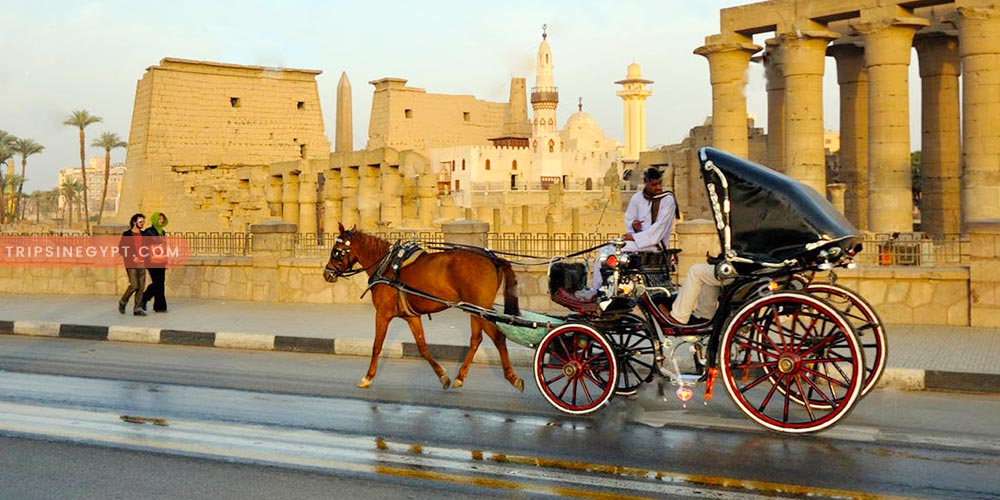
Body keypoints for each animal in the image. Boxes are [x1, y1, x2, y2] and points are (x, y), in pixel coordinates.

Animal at [323, 223, 524, 392]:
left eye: (336, 251)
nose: (327, 273)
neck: (386, 265)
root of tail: (494, 260)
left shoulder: (383, 313)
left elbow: (377, 345)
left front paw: (368, 377)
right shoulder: (411, 316)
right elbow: (422, 347)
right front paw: (442, 376)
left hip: (480, 309)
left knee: (497, 337)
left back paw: (512, 377)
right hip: (474, 309)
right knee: (477, 339)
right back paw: (461, 376)